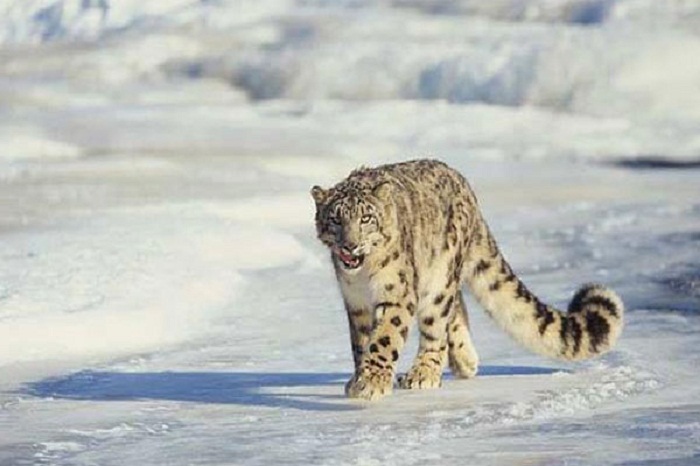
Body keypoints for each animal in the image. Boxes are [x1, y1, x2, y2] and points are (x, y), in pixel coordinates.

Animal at [312, 160, 624, 400]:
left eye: (366, 218)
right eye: (335, 219)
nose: (350, 245)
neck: (363, 277)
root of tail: (465, 187)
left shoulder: (396, 294)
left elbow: (385, 338)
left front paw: (372, 381)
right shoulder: (356, 302)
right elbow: (361, 342)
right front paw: (360, 378)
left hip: (440, 277)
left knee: (437, 323)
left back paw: (424, 372)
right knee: (455, 307)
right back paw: (465, 360)